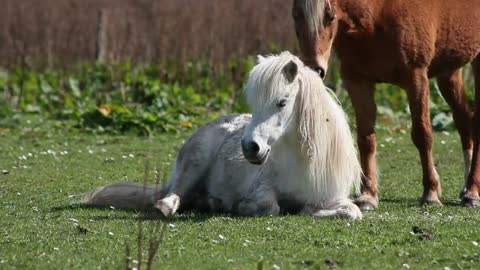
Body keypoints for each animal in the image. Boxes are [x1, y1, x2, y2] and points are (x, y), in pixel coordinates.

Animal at [82, 52, 362, 219]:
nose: (250, 147)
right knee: (173, 195)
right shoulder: (261, 191)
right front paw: (242, 207)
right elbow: (270, 207)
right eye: (254, 103)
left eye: (281, 102)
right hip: (194, 163)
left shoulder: (333, 198)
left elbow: (352, 212)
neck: (303, 164)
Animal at [290, 0, 480, 209]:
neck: (377, 14)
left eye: (331, 17)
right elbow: (366, 138)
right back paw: (466, 187)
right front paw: (368, 196)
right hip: (450, 70)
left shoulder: (416, 77)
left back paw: (472, 192)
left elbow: (423, 135)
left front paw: (430, 193)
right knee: (464, 120)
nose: (315, 70)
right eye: (295, 15)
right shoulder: (357, 81)